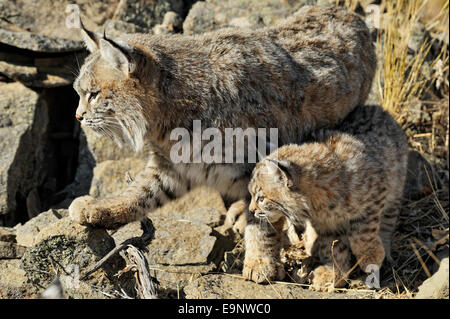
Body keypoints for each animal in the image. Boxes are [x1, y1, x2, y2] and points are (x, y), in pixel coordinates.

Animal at [246, 106, 408, 288]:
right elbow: (333, 247)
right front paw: (332, 273)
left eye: (261, 198)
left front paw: (370, 254)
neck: (318, 207)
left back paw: (385, 249)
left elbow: (362, 232)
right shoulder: (325, 226)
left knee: (388, 220)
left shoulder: (375, 195)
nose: (251, 211)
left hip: (396, 185)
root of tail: (379, 108)